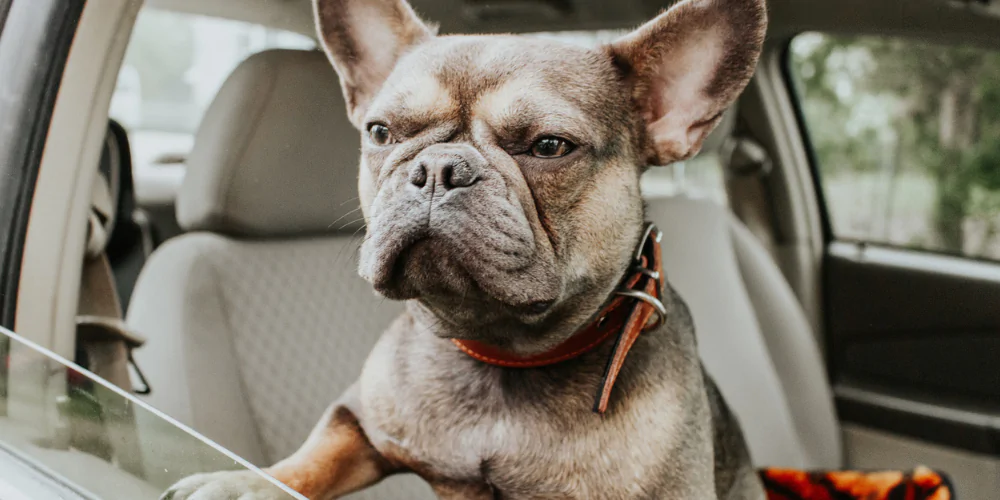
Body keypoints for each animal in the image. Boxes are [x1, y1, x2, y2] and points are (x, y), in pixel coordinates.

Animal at [168, 0, 768, 498]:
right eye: (380, 132)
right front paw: (242, 482)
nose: (438, 168)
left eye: (550, 146)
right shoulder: (358, 418)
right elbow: (314, 456)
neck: (501, 351)